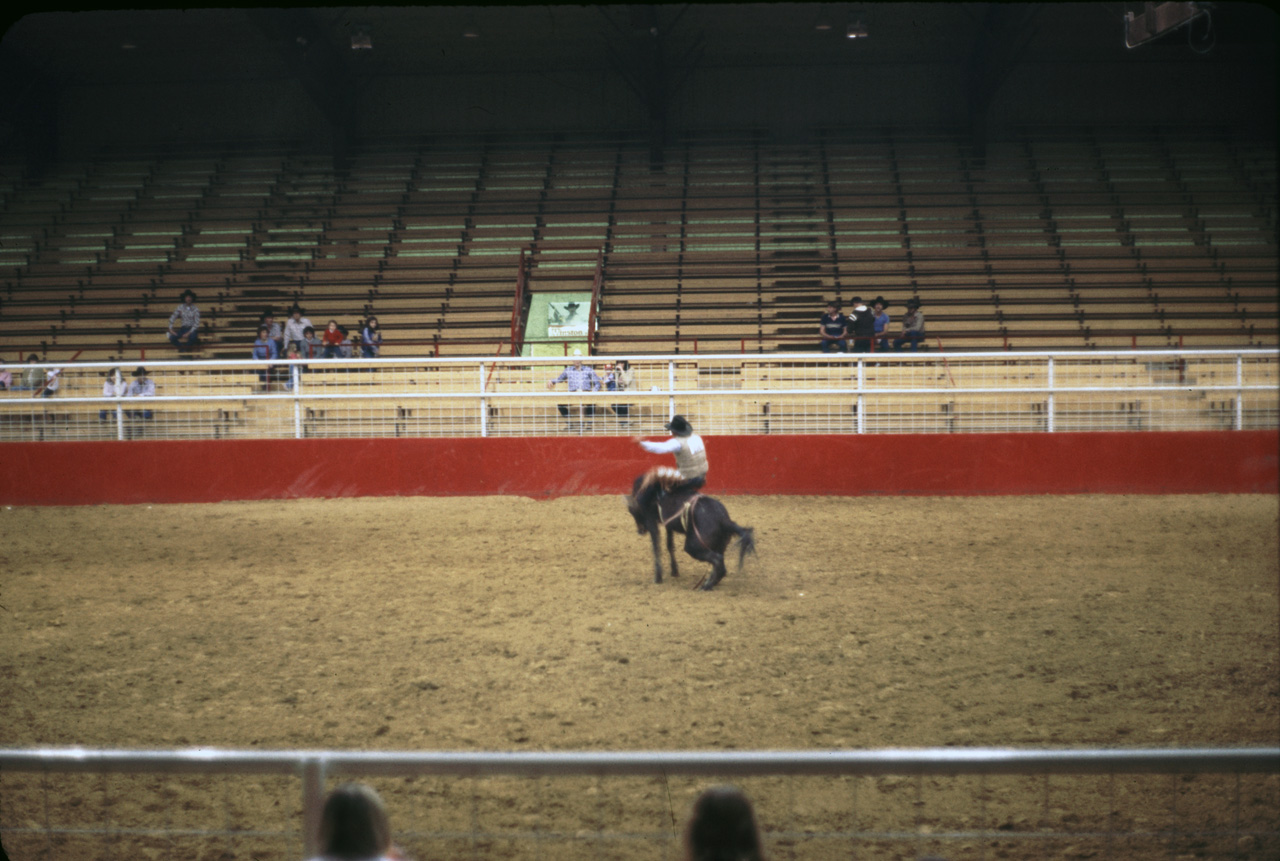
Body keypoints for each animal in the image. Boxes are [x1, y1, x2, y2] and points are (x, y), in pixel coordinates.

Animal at [624, 465, 752, 588]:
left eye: (631, 511)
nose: (640, 530)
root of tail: (724, 520)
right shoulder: (668, 525)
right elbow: (670, 545)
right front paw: (674, 571)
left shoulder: (651, 522)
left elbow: (656, 547)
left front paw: (658, 578)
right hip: (719, 545)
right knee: (721, 565)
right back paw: (710, 582)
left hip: (693, 546)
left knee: (718, 560)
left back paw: (707, 585)